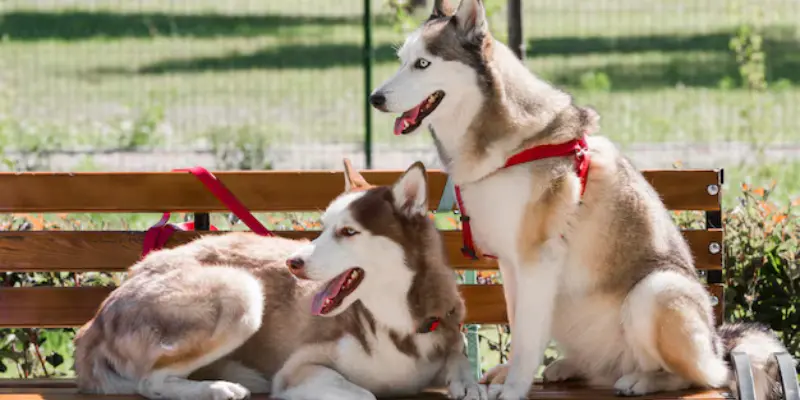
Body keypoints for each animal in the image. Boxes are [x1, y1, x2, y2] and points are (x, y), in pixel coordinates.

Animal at [73, 161, 488, 400]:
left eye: (348, 232)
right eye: (322, 227)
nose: (293, 262)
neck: (396, 322)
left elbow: (461, 362)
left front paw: (467, 384)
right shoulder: (297, 370)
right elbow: (364, 395)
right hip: (241, 292)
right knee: (150, 382)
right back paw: (216, 387)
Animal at [370, 0, 792, 400]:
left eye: (423, 64)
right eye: (403, 60)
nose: (375, 98)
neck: (512, 144)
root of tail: (719, 344)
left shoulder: (536, 260)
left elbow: (526, 337)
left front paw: (514, 387)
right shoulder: (511, 263)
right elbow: (517, 321)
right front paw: (509, 375)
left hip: (655, 291)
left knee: (702, 375)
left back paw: (643, 379)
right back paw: (569, 367)